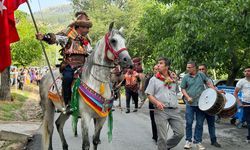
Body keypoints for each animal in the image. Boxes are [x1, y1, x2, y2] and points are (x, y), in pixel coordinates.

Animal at [39, 22, 133, 150]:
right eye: (113, 41)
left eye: (124, 41)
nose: (128, 61)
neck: (97, 83)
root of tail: (45, 76)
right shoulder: (85, 117)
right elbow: (86, 144)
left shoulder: (101, 118)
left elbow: (95, 140)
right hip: (48, 107)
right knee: (49, 129)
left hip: (65, 112)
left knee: (58, 124)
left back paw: (65, 146)